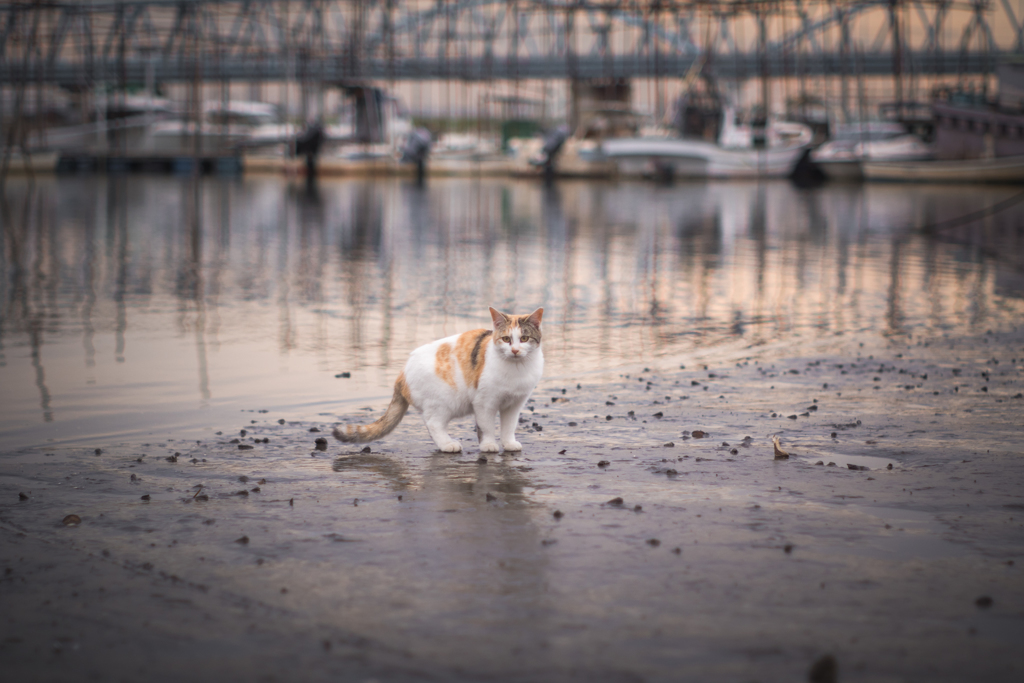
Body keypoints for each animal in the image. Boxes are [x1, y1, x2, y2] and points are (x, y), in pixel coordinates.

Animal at [333, 309, 544, 454]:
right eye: (506, 339)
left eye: (524, 338)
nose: (515, 350)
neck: (516, 368)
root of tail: (402, 372)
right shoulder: (484, 402)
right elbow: (486, 427)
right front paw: (489, 445)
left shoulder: (514, 404)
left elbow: (509, 426)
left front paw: (508, 444)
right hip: (444, 402)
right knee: (433, 423)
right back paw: (447, 444)